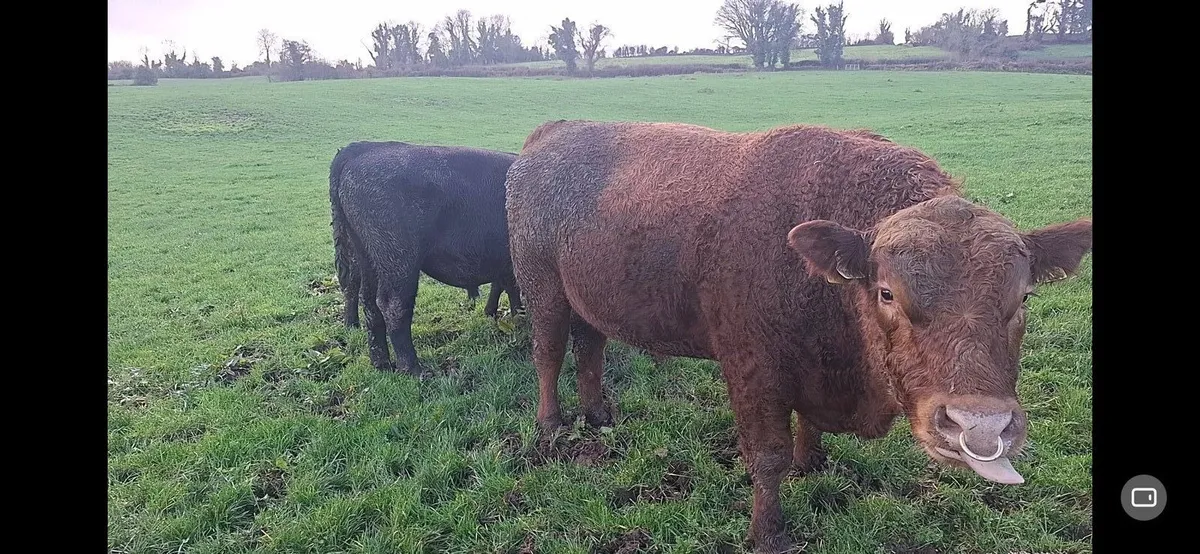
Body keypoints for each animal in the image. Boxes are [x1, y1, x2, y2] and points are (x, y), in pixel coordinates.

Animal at [330, 141, 524, 375]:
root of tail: (368, 148)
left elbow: (505, 287)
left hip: (366, 259)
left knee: (366, 300)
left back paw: (381, 363)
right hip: (399, 263)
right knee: (393, 305)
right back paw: (414, 369)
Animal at [503, 120, 1092, 553]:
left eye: (1023, 298)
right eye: (887, 292)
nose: (980, 425)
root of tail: (553, 134)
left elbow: (805, 430)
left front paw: (814, 462)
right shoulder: (752, 369)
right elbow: (768, 455)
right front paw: (769, 534)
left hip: (586, 300)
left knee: (590, 349)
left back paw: (598, 414)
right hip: (542, 288)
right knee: (548, 353)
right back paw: (551, 425)